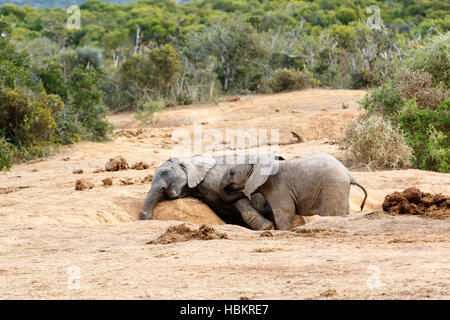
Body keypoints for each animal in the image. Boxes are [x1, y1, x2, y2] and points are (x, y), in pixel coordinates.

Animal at [219, 152, 370, 230]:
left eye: (232, 173)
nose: (242, 193)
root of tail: (349, 174)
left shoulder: (278, 187)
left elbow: (285, 213)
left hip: (332, 187)